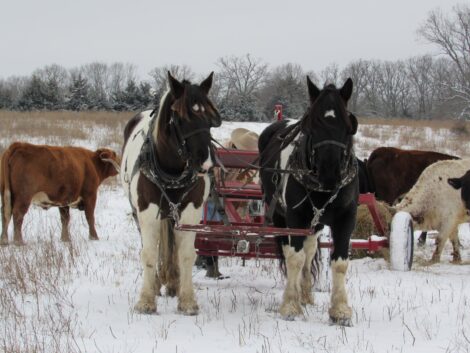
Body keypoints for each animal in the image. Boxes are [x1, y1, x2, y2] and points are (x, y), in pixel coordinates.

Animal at [123, 71, 222, 314]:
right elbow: (149, 253)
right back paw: (159, 283)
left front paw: (187, 300)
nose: (207, 163)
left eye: (211, 120)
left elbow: (186, 254)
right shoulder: (147, 211)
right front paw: (146, 300)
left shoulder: (191, 212)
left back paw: (173, 282)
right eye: (181, 118)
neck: (172, 171)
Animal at [258, 77, 358, 324]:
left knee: (310, 250)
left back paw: (305, 294)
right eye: (312, 124)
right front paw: (290, 306)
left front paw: (340, 310)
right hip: (279, 214)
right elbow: (295, 258)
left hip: (316, 222)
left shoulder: (346, 217)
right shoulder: (295, 216)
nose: (330, 173)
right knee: (290, 252)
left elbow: (339, 262)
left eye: (348, 125)